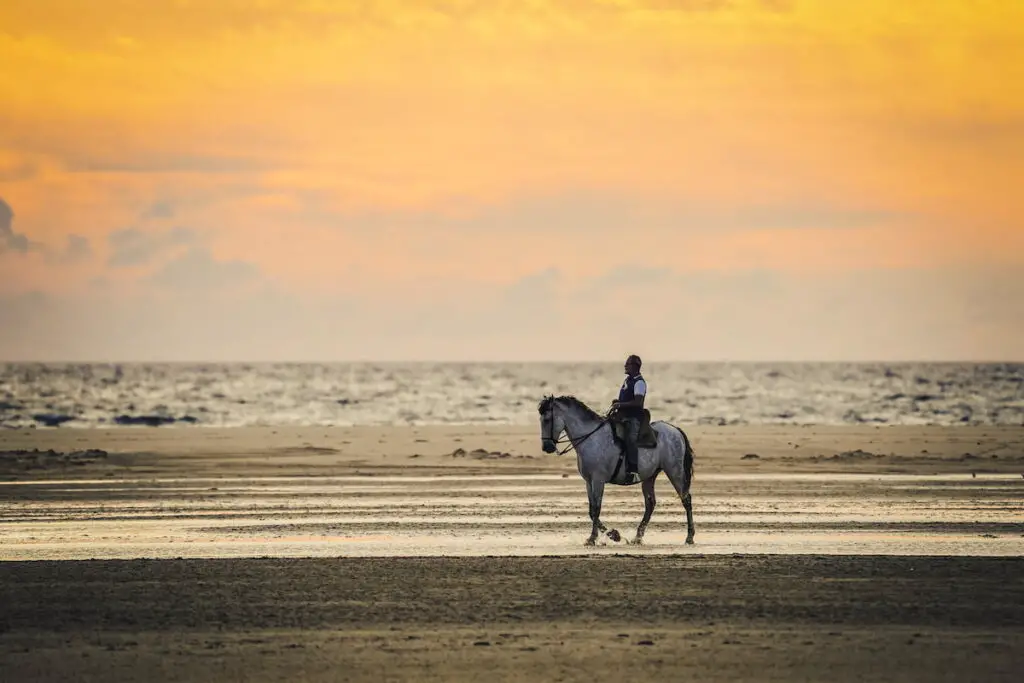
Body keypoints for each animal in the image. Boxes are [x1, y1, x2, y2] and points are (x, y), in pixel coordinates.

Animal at [536, 393, 696, 548]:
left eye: (547, 420)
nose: (547, 447)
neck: (591, 438)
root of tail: (675, 430)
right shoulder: (589, 482)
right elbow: (591, 510)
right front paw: (614, 534)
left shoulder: (598, 480)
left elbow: (596, 508)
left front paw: (593, 538)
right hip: (649, 477)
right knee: (650, 504)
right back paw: (637, 538)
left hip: (675, 472)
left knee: (686, 499)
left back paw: (689, 537)